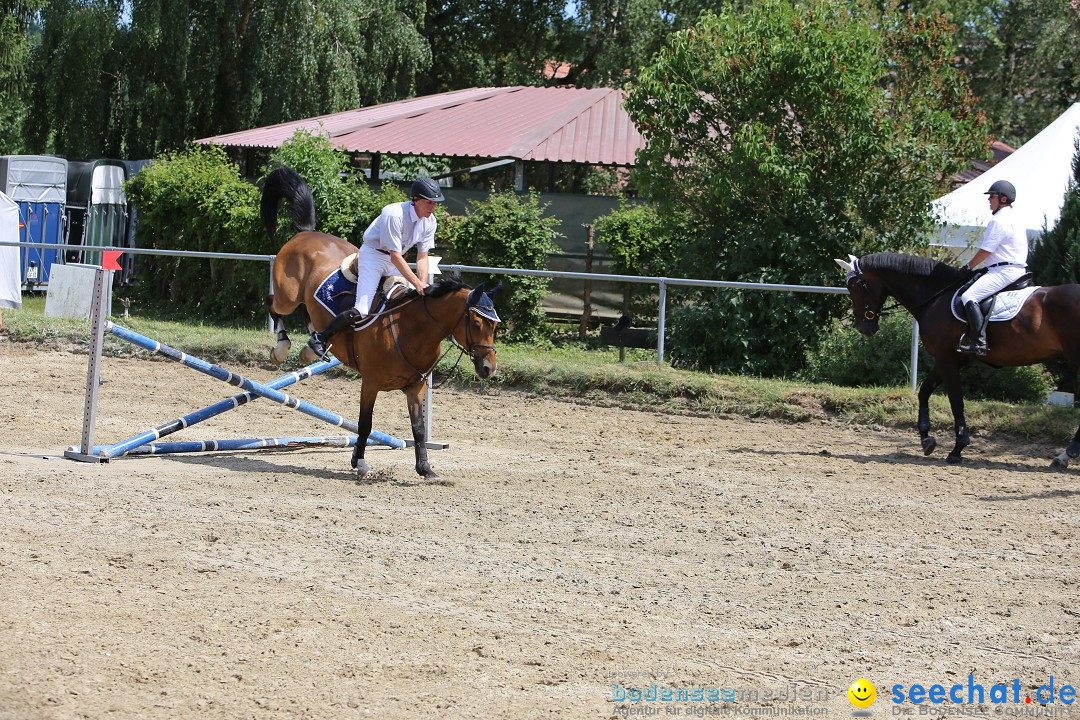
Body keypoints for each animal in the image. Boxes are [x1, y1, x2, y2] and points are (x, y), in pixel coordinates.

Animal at [263, 167, 498, 481]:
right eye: (475, 321)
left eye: (495, 326)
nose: (488, 369)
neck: (413, 330)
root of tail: (306, 233)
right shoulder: (370, 383)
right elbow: (365, 423)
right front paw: (360, 463)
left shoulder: (416, 388)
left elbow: (418, 428)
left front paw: (425, 469)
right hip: (287, 295)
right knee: (273, 304)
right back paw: (282, 347)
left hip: (305, 301)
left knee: (307, 314)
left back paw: (313, 347)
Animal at [838, 253, 1080, 468]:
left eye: (855, 286)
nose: (864, 327)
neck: (936, 297)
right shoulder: (947, 359)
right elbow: (924, 391)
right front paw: (926, 439)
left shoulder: (947, 360)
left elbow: (956, 401)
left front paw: (957, 449)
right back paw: (1064, 456)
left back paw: (1067, 454)